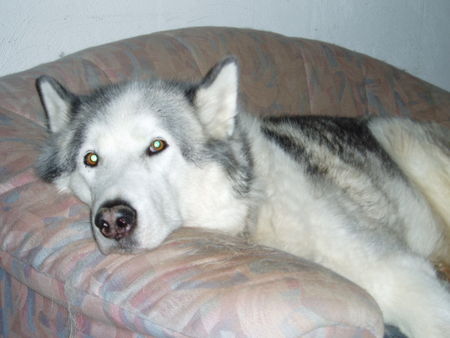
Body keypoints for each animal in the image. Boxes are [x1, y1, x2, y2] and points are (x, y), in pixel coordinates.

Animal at [36, 56, 450, 336]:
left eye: (157, 145)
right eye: (91, 159)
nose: (112, 220)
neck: (256, 211)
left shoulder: (398, 273)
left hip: (403, 143)